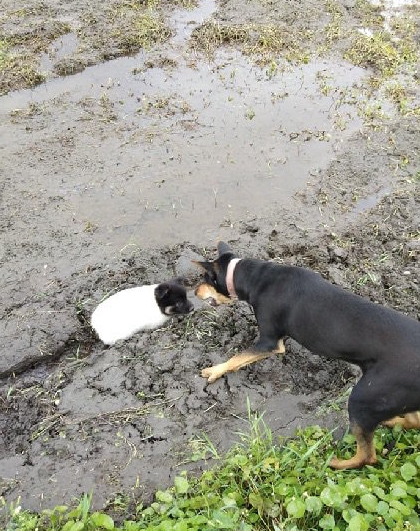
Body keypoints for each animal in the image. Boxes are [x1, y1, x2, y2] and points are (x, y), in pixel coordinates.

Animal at [195, 242, 420, 470]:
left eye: (204, 278)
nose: (194, 292)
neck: (253, 276)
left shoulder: (269, 342)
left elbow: (237, 358)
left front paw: (214, 371)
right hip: (393, 396)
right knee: (413, 421)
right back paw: (392, 421)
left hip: (364, 397)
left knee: (367, 456)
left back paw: (334, 463)